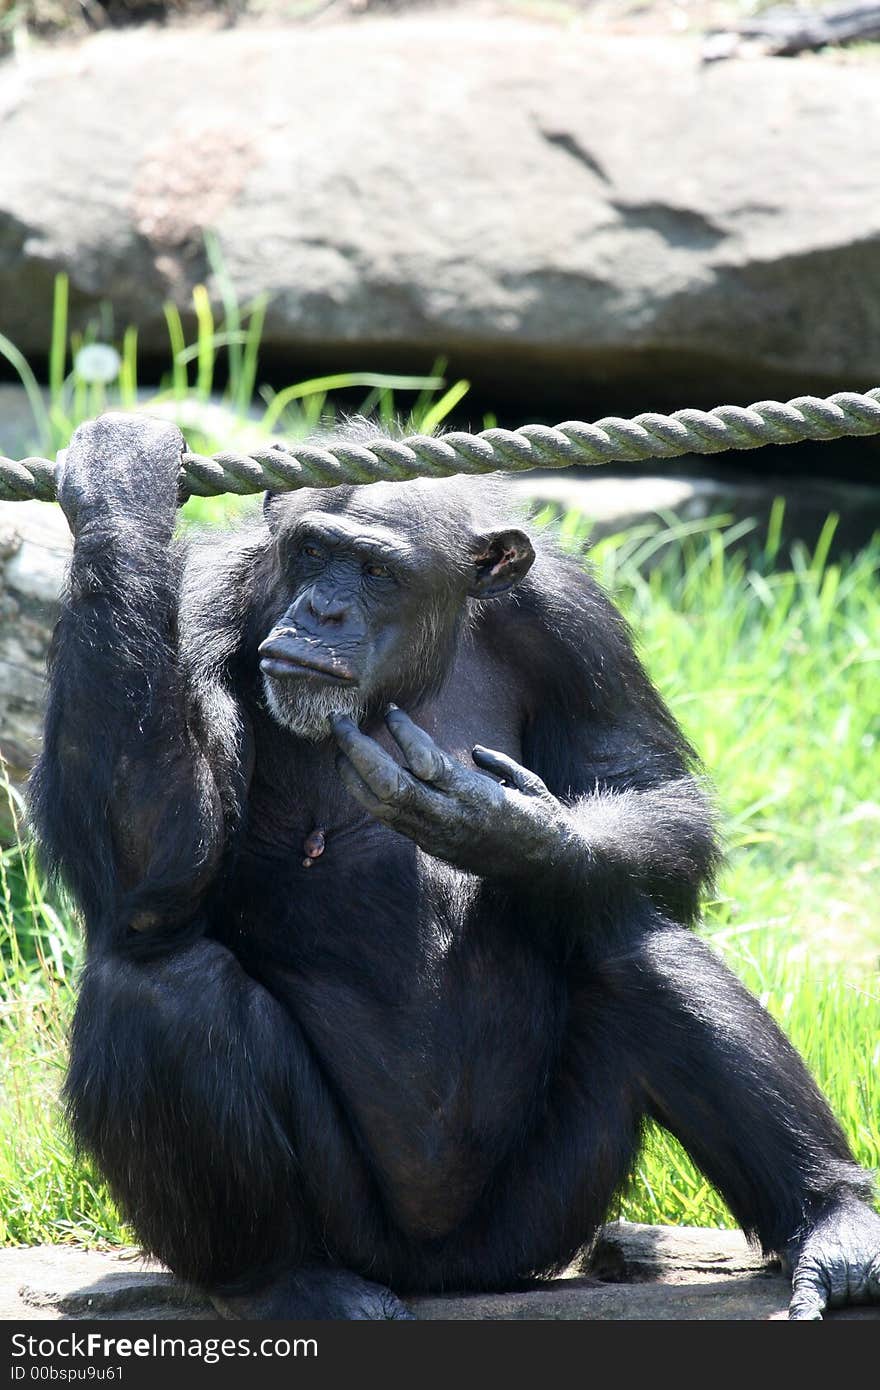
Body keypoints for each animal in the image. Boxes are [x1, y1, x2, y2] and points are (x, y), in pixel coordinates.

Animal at [30, 414, 878, 1323]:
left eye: (374, 570)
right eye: (312, 553)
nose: (322, 607)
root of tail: (444, 1274)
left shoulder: (573, 622)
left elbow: (647, 788)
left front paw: (498, 826)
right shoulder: (204, 606)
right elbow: (155, 867)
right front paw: (120, 484)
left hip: (543, 1216)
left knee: (632, 937)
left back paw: (835, 1224)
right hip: (365, 1225)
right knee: (163, 986)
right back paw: (284, 1282)